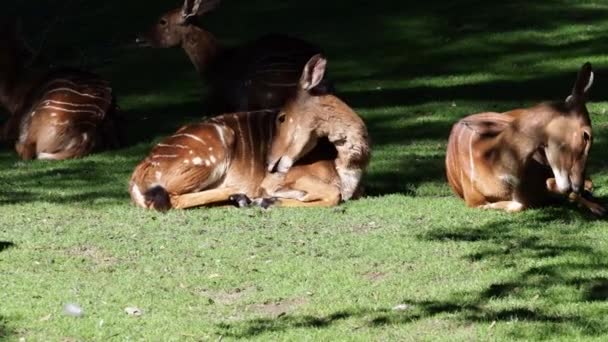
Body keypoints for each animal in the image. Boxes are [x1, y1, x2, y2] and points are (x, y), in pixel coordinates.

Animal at [129, 54, 368, 210]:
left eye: (282, 117)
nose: (270, 164)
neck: (344, 165)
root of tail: (136, 179)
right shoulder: (283, 179)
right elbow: (333, 194)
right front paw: (265, 200)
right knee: (171, 198)